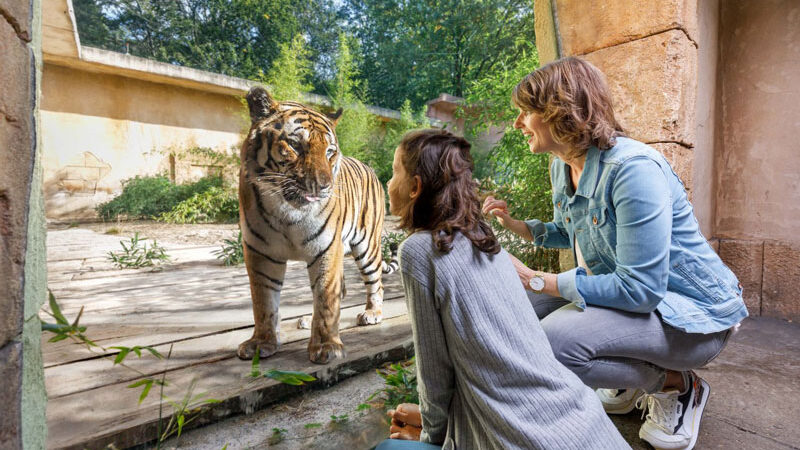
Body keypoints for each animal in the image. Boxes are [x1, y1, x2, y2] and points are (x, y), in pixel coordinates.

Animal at [239, 87, 398, 366]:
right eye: (294, 145)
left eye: (329, 151)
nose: (323, 186)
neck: (286, 212)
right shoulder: (260, 252)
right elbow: (263, 301)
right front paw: (261, 343)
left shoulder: (326, 249)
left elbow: (325, 298)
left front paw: (326, 346)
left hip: (367, 245)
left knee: (375, 282)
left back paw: (372, 313)